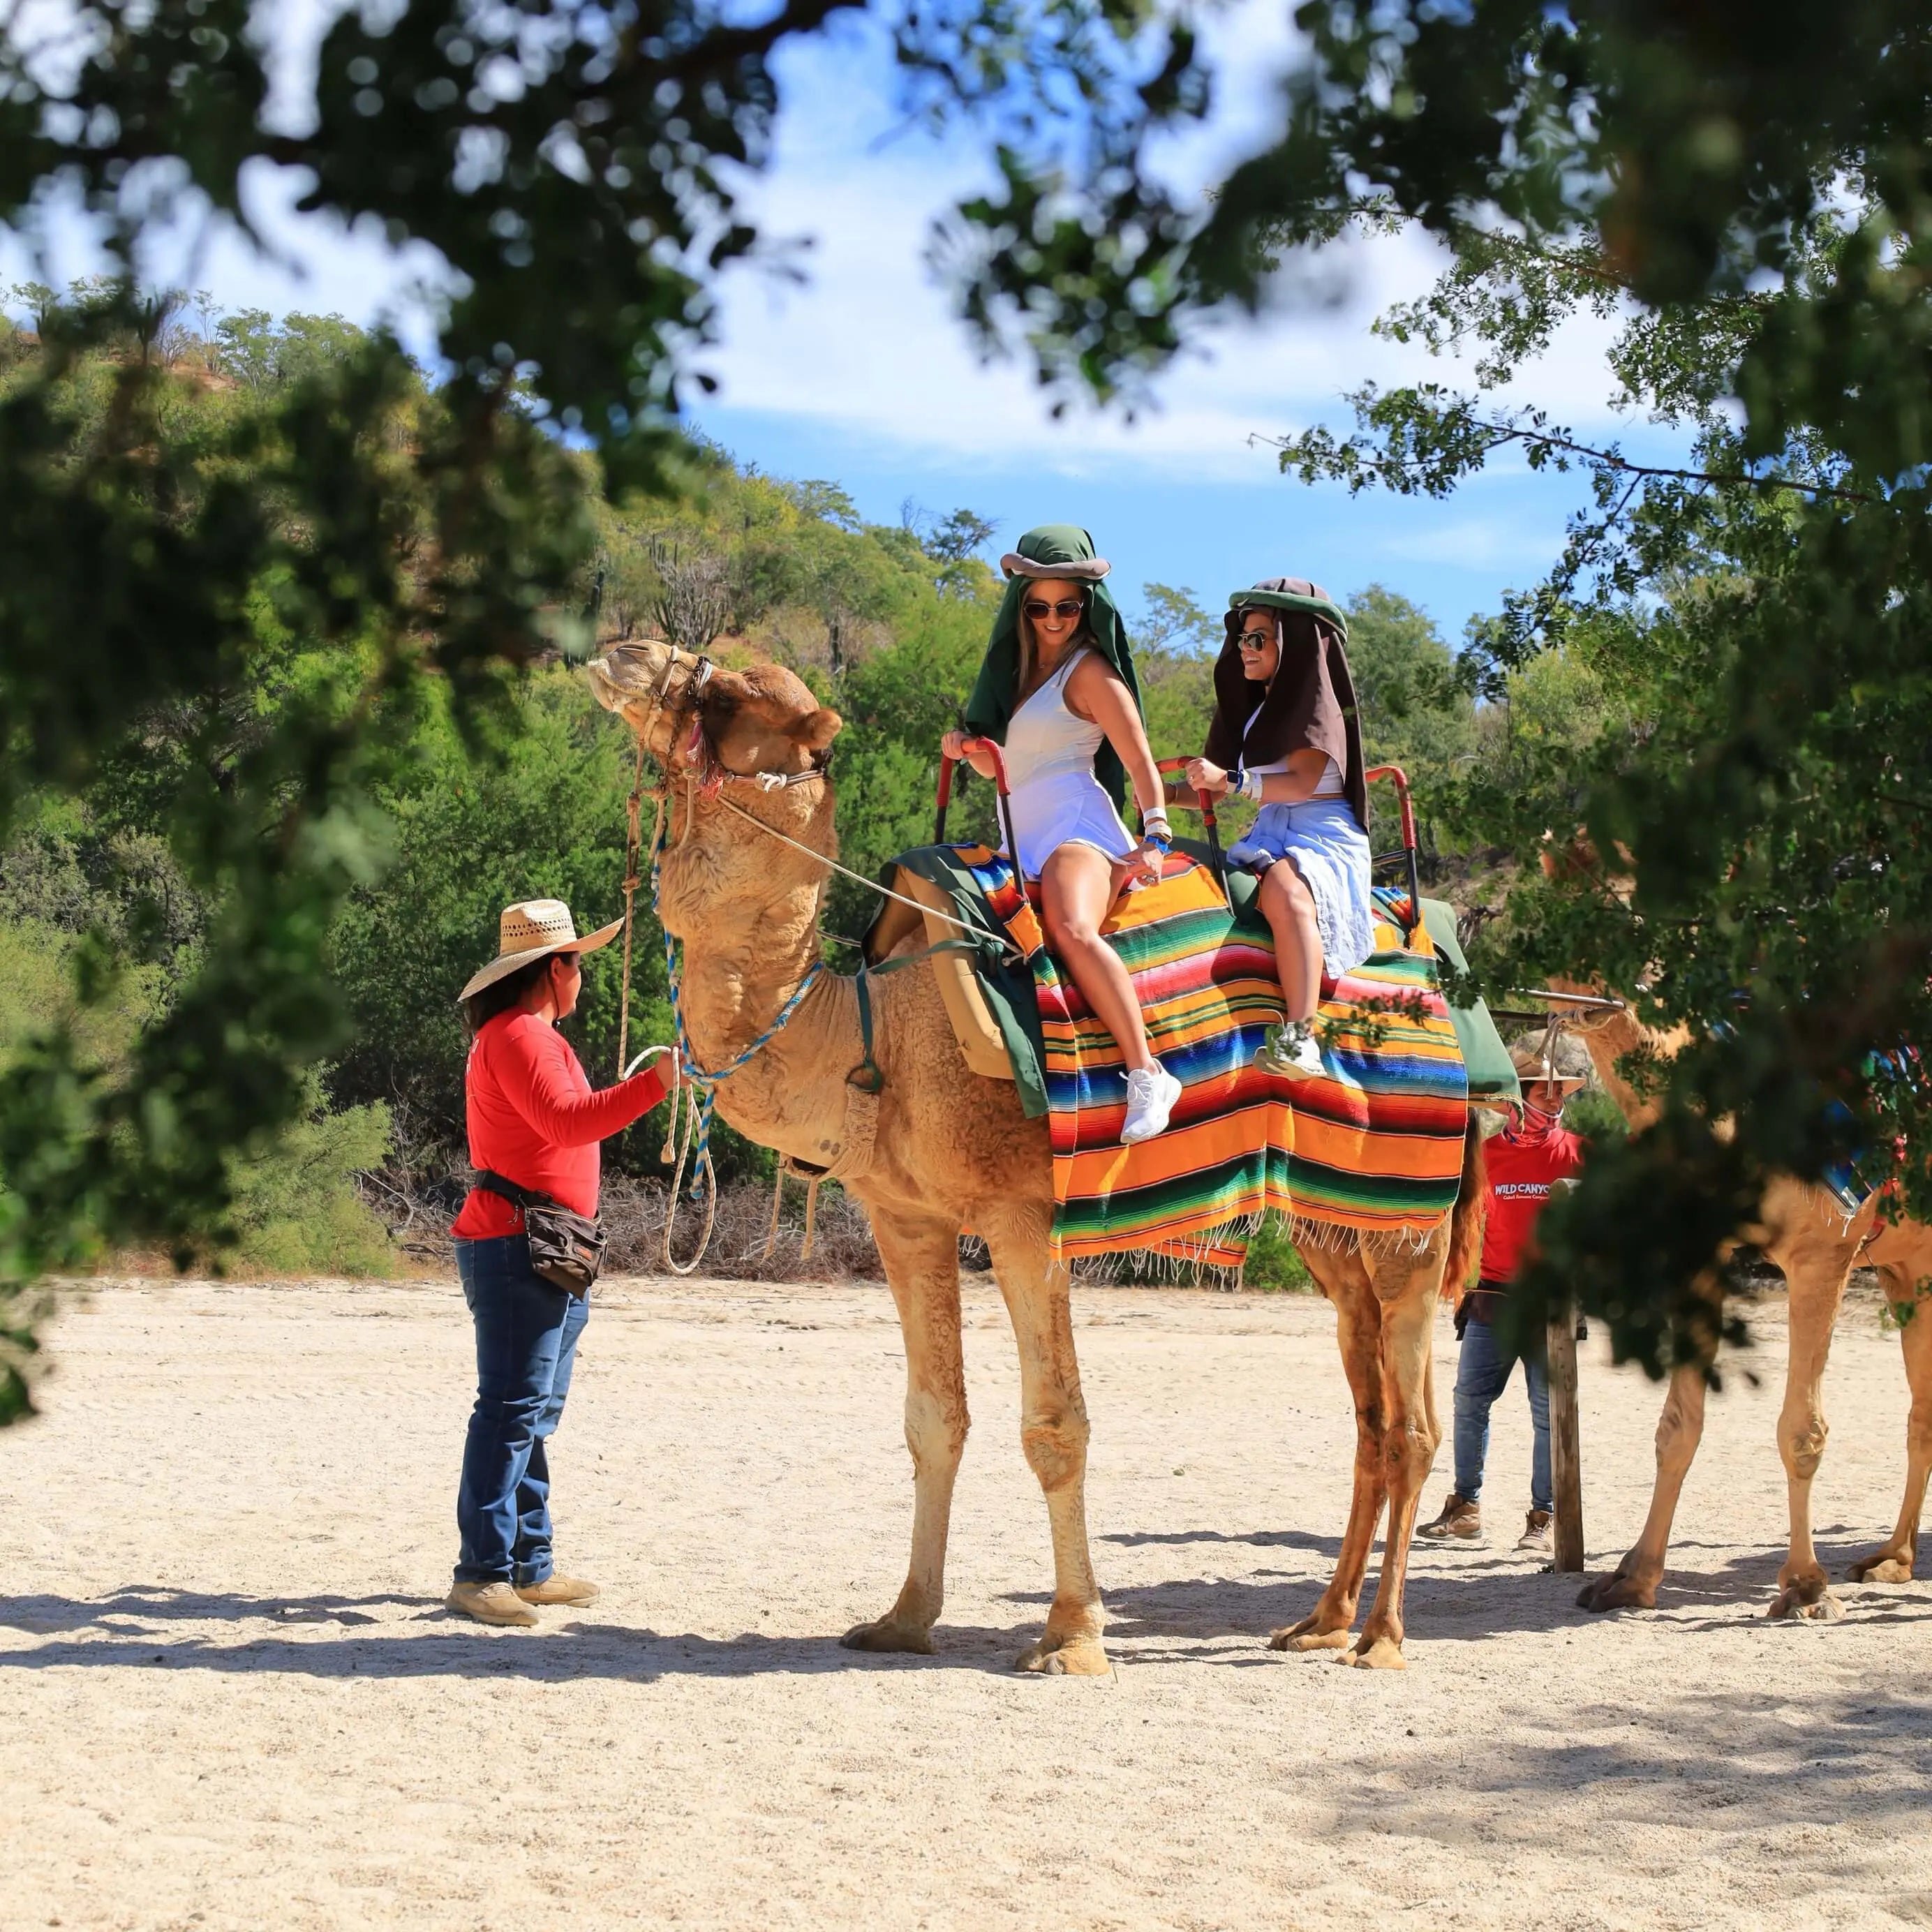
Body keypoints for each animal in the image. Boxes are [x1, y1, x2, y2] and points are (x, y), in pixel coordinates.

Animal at [588, 639, 1485, 1672]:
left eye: (733, 693)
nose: (626, 653)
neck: (879, 1031)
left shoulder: (1025, 1217)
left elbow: (1055, 1425)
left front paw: (1072, 1634)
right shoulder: (907, 1219)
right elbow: (934, 1418)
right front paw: (902, 1618)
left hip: (1411, 1214)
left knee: (1412, 1422)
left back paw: (1379, 1638)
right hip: (1333, 1224)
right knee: (1371, 1411)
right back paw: (1320, 1620)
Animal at [1551, 993, 1932, 1618]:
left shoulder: (1822, 1252)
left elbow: (1801, 1430)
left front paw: (1805, 1588)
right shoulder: (1697, 1247)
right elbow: (1676, 1427)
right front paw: (1630, 1580)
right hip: (1910, 1274)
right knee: (1921, 1415)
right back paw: (1892, 1560)